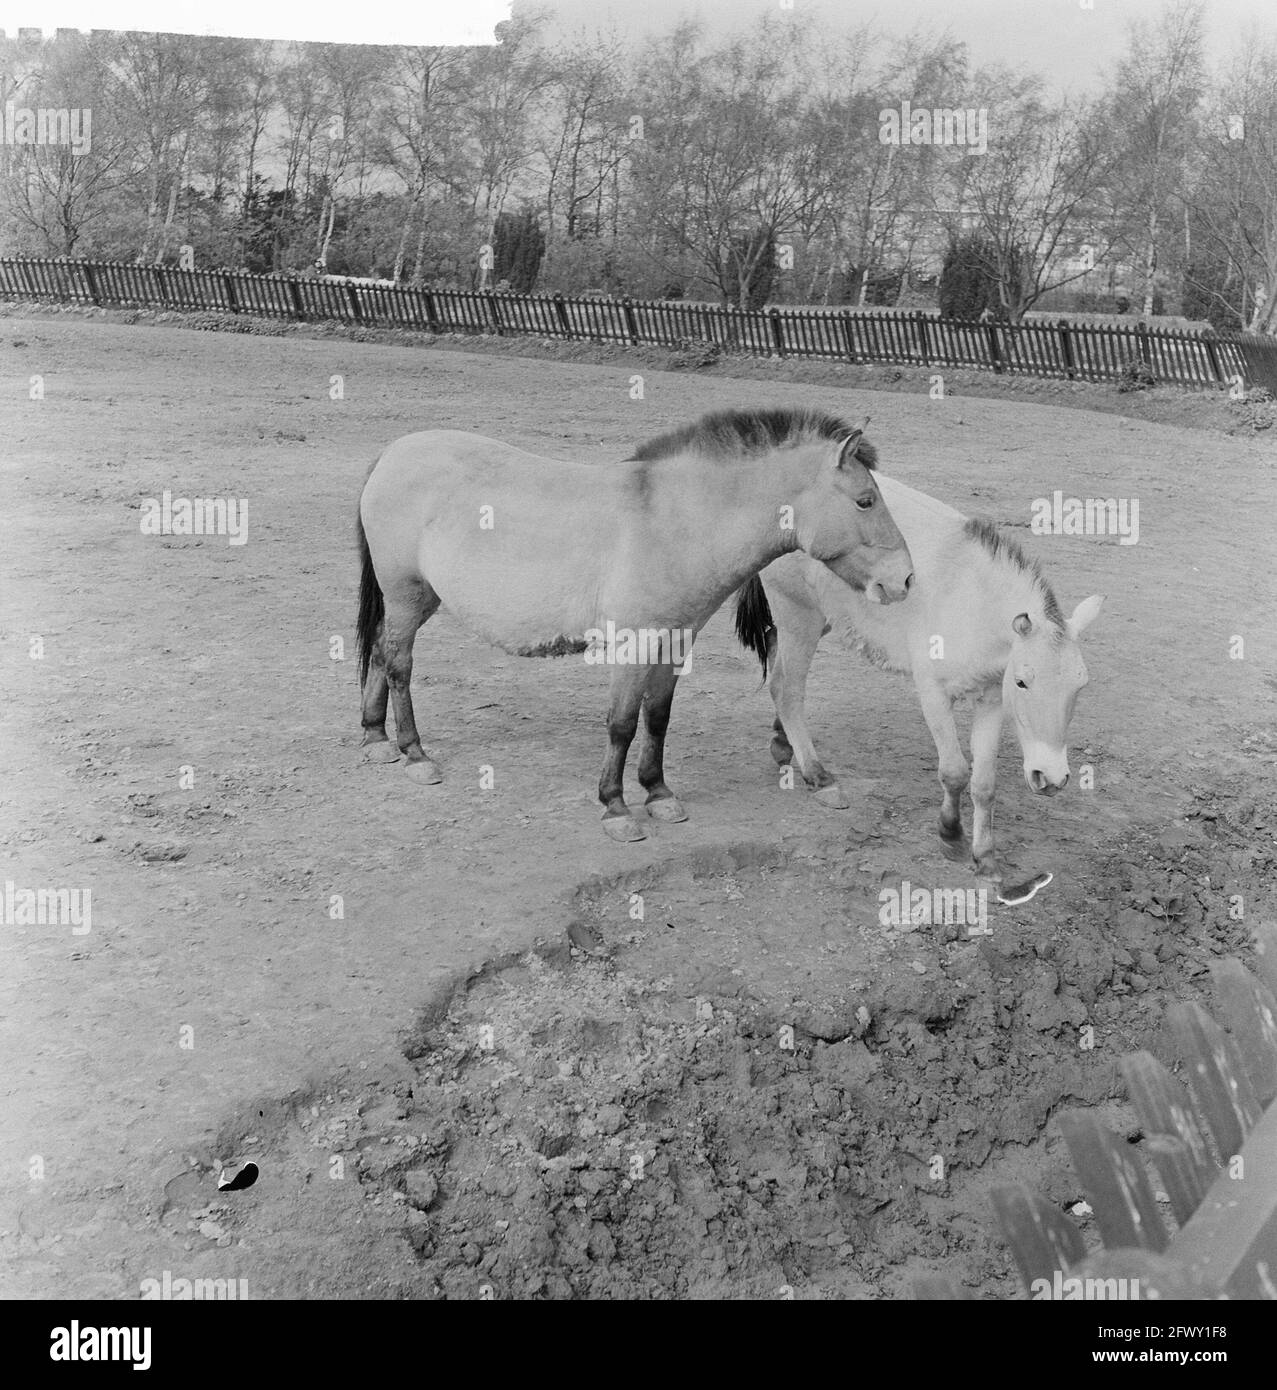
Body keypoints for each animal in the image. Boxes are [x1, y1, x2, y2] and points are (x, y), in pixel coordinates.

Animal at [358, 405, 911, 839]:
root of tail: (392, 454)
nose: (904, 579)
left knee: (382, 651)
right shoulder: (634, 644)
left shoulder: (675, 642)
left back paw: (375, 737)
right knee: (400, 663)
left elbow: (658, 718)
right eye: (865, 501)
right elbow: (622, 723)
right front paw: (616, 807)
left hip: (419, 599)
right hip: (406, 595)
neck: (673, 523)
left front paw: (658, 793)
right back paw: (414, 754)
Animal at [733, 472, 1106, 872]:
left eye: (1080, 686)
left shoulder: (991, 700)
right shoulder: (934, 694)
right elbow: (955, 772)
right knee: (786, 688)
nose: (1051, 778)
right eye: (1022, 682)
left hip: (819, 617)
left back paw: (783, 741)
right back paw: (818, 776)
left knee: (776, 657)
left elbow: (984, 784)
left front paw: (985, 858)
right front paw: (951, 835)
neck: (968, 599)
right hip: (799, 614)